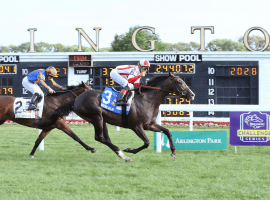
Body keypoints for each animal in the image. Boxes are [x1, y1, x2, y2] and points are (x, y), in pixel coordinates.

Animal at [34, 74, 195, 162]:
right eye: (180, 82)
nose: (192, 94)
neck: (147, 99)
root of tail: (76, 99)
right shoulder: (137, 126)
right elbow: (147, 142)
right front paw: (130, 150)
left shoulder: (150, 125)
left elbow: (168, 132)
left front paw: (173, 153)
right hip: (96, 116)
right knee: (99, 137)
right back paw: (123, 154)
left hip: (102, 119)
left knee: (105, 138)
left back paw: (120, 154)